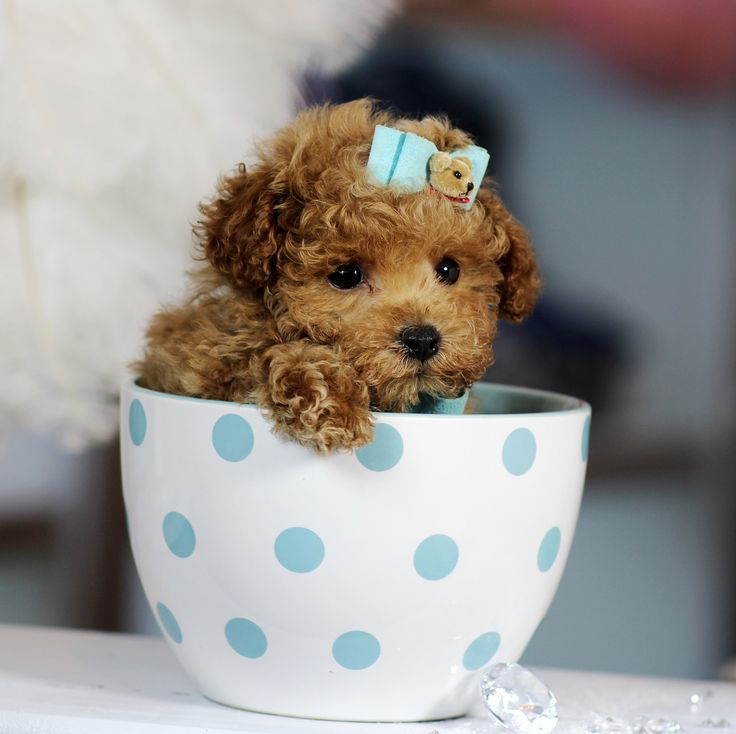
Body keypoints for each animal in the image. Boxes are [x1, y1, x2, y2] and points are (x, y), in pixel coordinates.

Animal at [137, 98, 540, 454]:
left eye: (449, 269)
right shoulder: (205, 360)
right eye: (346, 275)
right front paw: (336, 403)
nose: (423, 339)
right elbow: (262, 357)